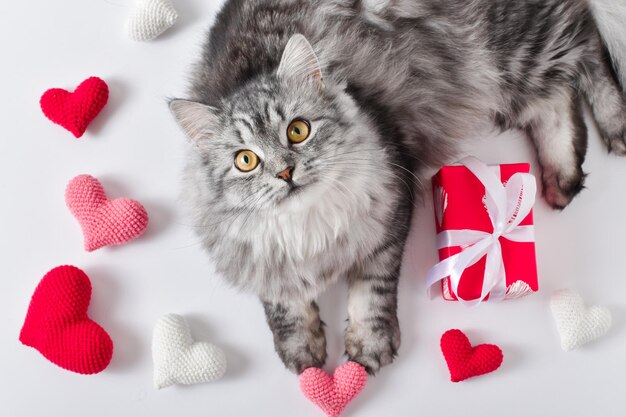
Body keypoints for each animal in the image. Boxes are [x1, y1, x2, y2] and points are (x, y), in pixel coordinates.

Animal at [169, 0, 624, 374]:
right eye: (246, 161)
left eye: (298, 131)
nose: (285, 172)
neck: (310, 226)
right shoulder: (259, 258)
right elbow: (283, 304)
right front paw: (304, 351)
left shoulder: (389, 209)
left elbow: (371, 292)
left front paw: (369, 346)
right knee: (558, 96)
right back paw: (561, 179)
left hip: (516, 52)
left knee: (588, 45)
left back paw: (612, 127)